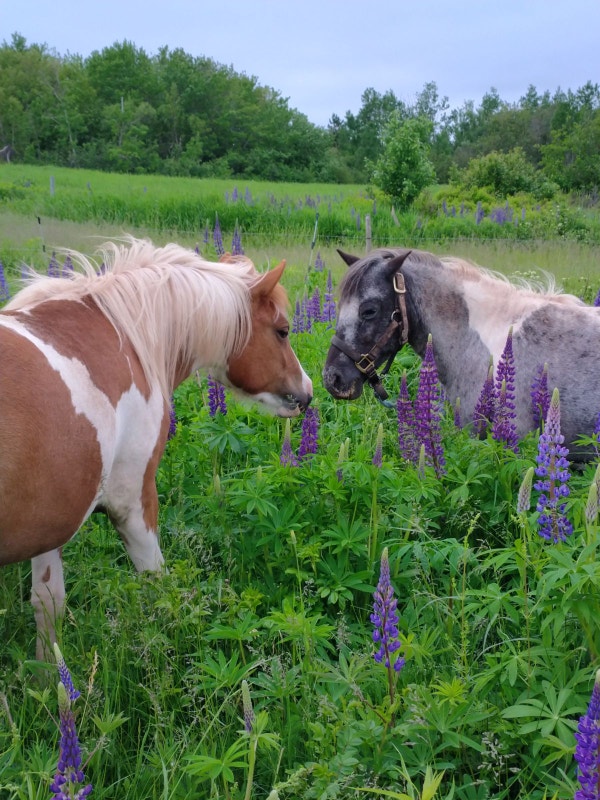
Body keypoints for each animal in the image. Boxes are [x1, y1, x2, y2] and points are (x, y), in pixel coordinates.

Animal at [0, 237, 312, 659]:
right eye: (282, 331)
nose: (307, 392)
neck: (120, 337)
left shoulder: (52, 515)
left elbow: (48, 603)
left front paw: (50, 674)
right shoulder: (133, 501)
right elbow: (157, 582)